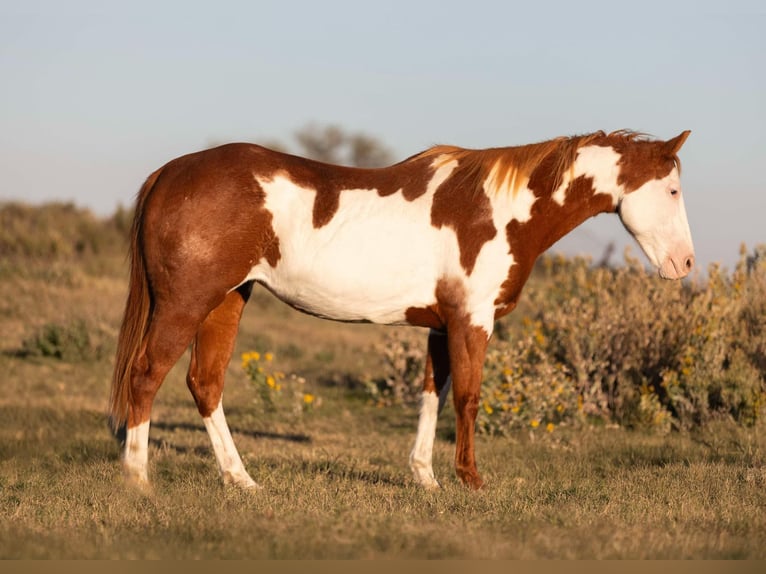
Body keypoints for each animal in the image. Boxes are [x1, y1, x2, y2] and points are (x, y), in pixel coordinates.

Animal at [110, 129, 695, 491]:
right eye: (671, 189)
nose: (685, 263)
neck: (501, 211)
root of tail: (171, 173)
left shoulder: (440, 325)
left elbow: (431, 398)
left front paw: (425, 478)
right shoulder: (472, 321)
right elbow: (467, 398)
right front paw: (471, 480)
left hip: (227, 301)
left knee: (205, 384)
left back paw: (242, 480)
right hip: (185, 304)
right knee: (146, 375)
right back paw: (138, 480)